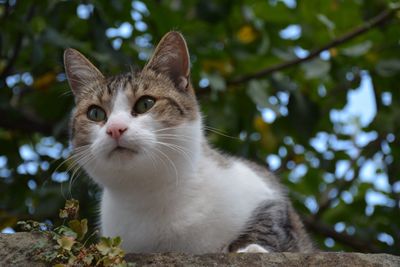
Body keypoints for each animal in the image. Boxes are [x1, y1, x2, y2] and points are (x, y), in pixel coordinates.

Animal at [63, 30, 312, 253]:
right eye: (96, 113)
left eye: (145, 103)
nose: (115, 129)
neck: (150, 193)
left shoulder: (265, 191)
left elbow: (269, 225)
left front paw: (250, 249)